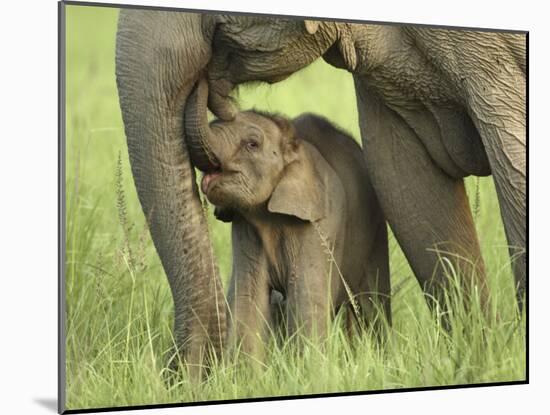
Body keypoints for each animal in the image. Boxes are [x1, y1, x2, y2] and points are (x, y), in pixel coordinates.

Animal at [192, 109, 390, 362]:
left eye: (252, 144)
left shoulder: (319, 223)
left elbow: (305, 297)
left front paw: (311, 367)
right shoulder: (246, 227)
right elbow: (248, 297)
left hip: (375, 230)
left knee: (372, 304)